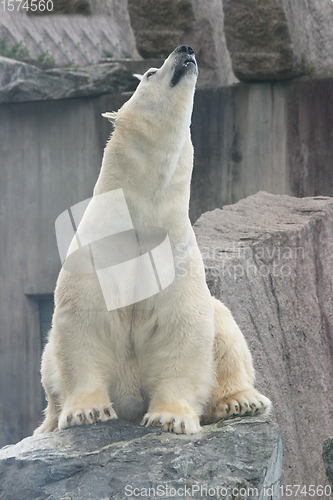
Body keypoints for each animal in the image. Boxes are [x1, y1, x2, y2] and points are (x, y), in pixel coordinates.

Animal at [34, 45, 270, 436]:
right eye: (148, 73)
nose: (185, 49)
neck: (140, 218)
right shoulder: (96, 256)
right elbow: (84, 323)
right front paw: (87, 411)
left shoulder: (176, 258)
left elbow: (183, 326)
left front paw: (168, 417)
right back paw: (49, 423)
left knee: (226, 329)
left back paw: (241, 400)